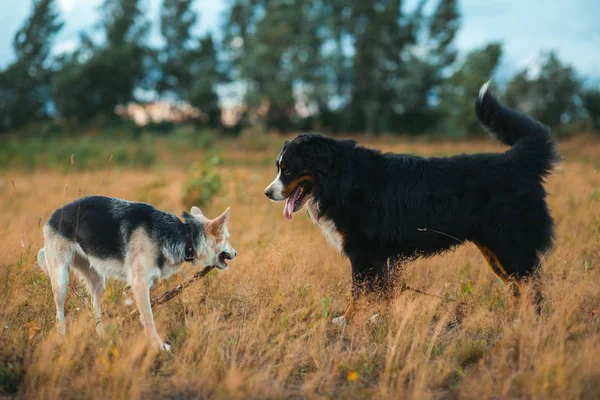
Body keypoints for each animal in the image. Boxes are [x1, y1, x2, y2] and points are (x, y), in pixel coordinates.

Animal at [38, 197, 237, 350]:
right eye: (227, 238)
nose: (235, 253)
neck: (184, 235)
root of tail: (54, 215)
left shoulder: (142, 278)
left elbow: (153, 282)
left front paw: (128, 290)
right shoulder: (140, 285)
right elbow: (148, 319)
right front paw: (158, 346)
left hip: (98, 281)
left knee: (96, 309)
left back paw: (102, 335)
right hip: (61, 279)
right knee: (59, 312)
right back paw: (61, 337)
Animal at [264, 82, 560, 322]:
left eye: (286, 170)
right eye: (279, 168)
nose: (267, 192)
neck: (342, 179)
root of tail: (516, 160)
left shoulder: (363, 252)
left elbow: (358, 292)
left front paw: (347, 320)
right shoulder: (378, 256)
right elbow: (379, 293)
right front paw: (376, 318)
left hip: (510, 245)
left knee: (530, 287)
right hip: (495, 249)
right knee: (517, 287)